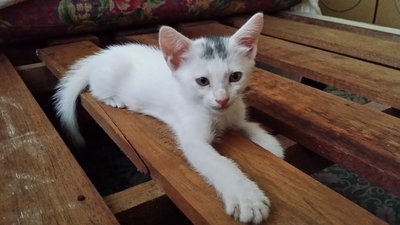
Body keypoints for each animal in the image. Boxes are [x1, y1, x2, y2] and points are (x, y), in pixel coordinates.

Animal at [53, 13, 284, 224]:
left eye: (235, 77)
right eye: (202, 81)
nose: (222, 99)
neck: (220, 115)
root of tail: (101, 56)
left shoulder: (235, 112)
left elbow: (247, 125)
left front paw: (270, 144)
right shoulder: (192, 139)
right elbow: (220, 163)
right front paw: (247, 198)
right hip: (105, 80)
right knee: (96, 89)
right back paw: (114, 99)